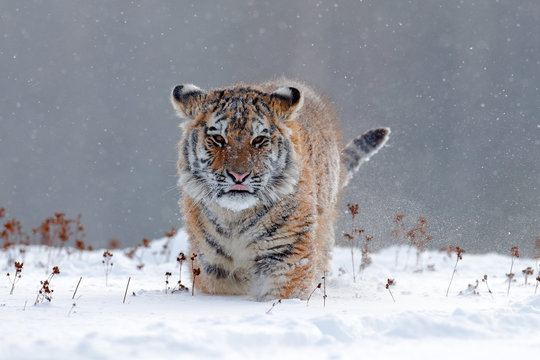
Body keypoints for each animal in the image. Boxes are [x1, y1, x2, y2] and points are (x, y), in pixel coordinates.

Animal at [170, 79, 388, 300]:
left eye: (258, 140)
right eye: (218, 139)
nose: (238, 175)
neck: (235, 220)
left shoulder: (286, 257)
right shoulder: (214, 266)